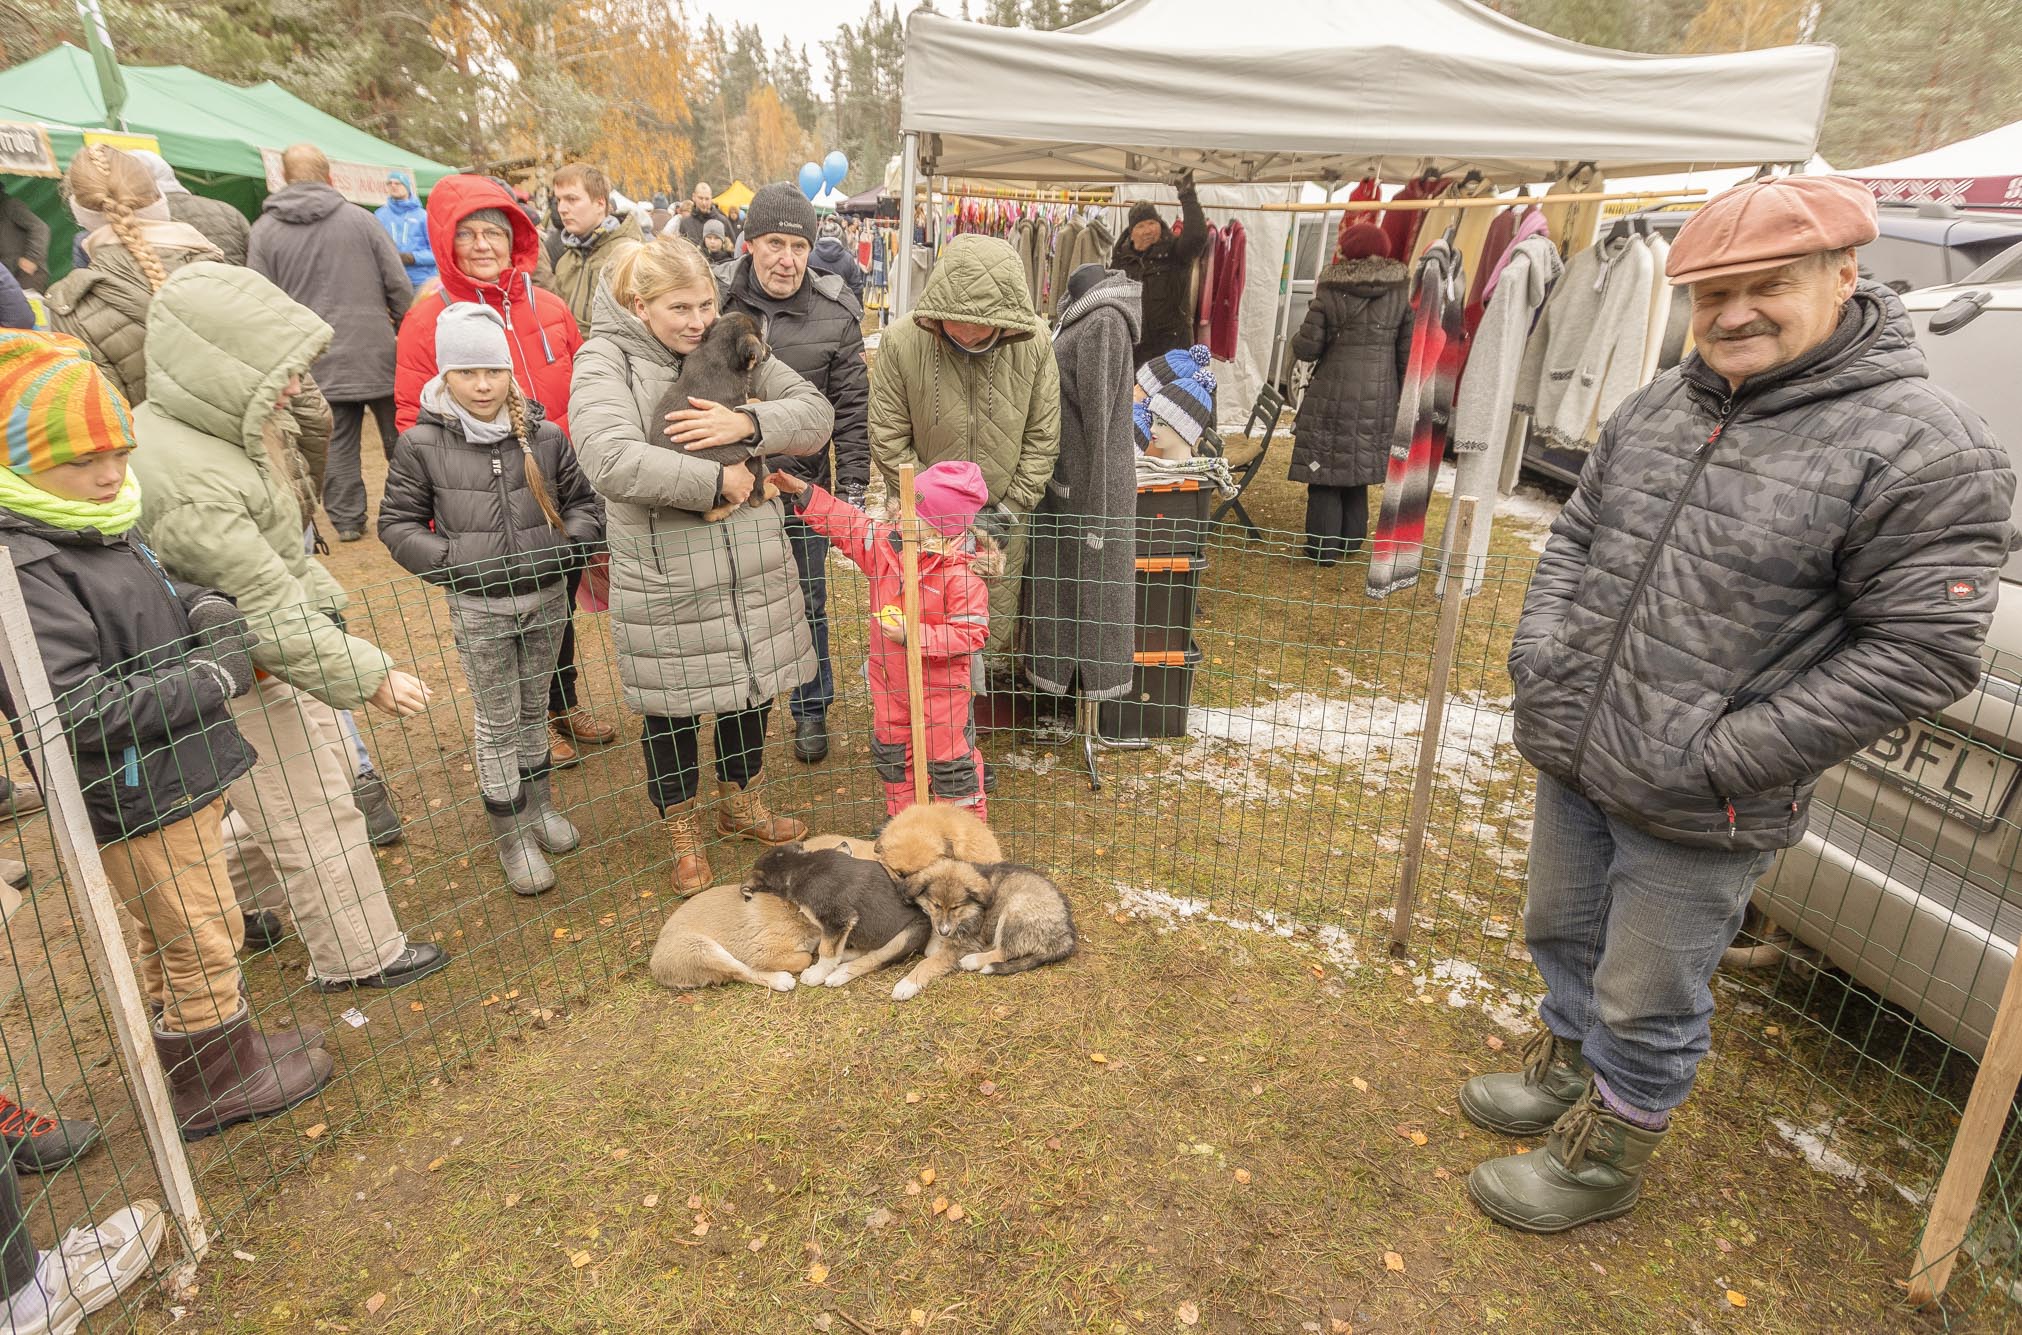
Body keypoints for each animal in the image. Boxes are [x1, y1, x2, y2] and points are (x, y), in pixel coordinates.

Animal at [655, 313, 772, 521]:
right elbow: (752, 400)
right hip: (752, 457)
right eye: (760, 337)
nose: (771, 350)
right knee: (756, 497)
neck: (717, 352)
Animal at [744, 849, 930, 987]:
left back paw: (839, 974)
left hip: (908, 935)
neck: (799, 864)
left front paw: (816, 974)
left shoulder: (837, 920)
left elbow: (827, 950)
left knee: (876, 958)